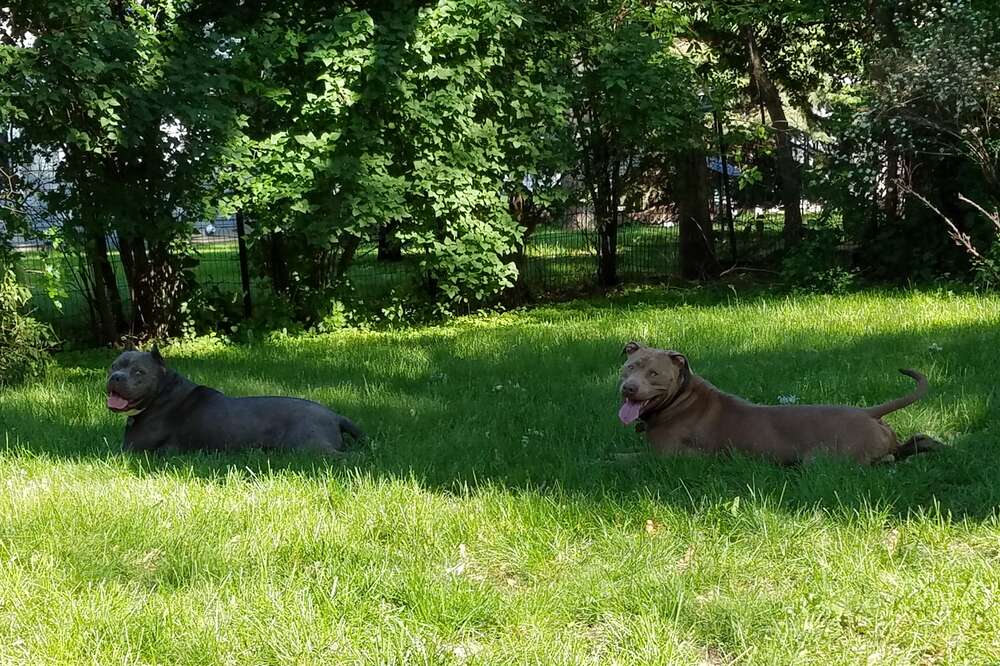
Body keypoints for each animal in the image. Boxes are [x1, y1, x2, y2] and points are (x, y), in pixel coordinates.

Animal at [107, 344, 364, 454]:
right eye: (113, 366)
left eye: (139, 372)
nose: (115, 378)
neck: (163, 391)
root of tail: (335, 416)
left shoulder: (131, 449)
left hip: (309, 446)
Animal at [620, 340, 940, 464]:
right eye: (630, 367)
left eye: (654, 373)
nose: (628, 388)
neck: (680, 398)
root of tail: (867, 413)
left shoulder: (665, 457)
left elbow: (619, 458)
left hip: (823, 457)